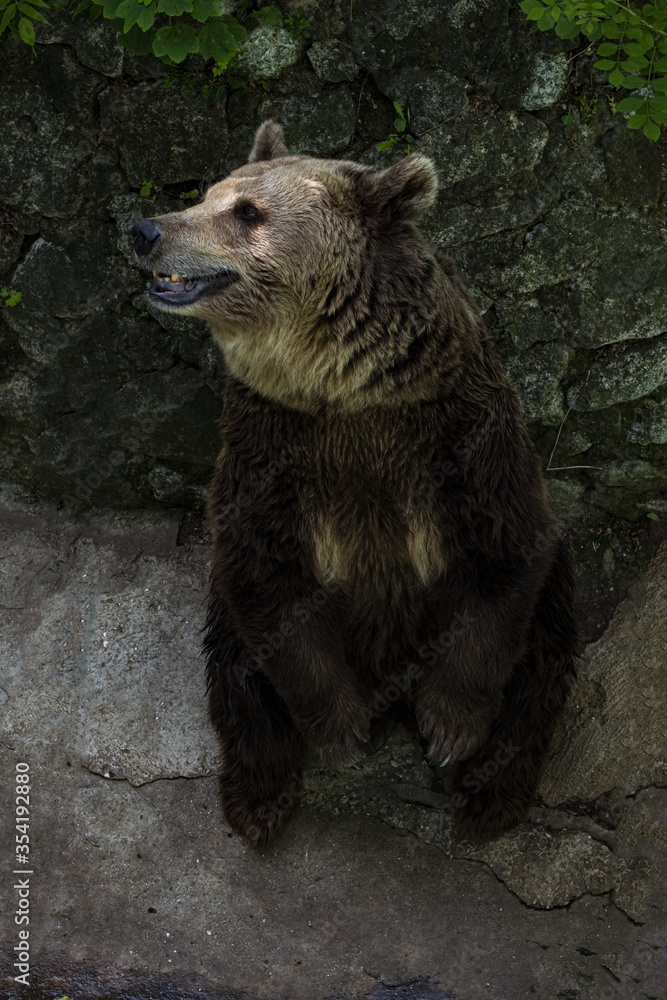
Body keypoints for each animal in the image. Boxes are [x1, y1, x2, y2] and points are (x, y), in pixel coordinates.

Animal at [131, 120, 579, 846]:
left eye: (246, 212)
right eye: (205, 193)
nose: (146, 230)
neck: (346, 385)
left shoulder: (461, 436)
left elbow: (498, 559)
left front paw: (450, 729)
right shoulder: (269, 444)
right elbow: (271, 579)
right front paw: (342, 735)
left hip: (551, 594)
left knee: (540, 661)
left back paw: (487, 796)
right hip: (227, 613)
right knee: (238, 673)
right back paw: (258, 799)